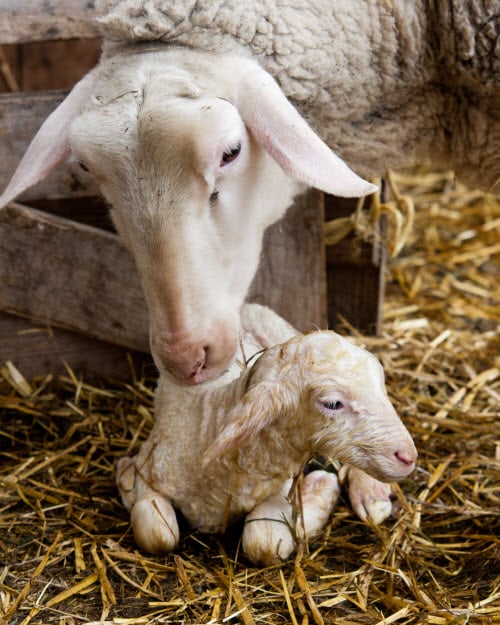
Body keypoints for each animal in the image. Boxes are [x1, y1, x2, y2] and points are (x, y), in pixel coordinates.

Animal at [117, 302, 418, 564]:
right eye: (333, 403)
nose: (408, 456)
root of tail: (244, 305)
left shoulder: (280, 489)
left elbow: (263, 542)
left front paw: (320, 491)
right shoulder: (149, 472)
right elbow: (157, 535)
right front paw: (123, 473)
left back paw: (371, 493)